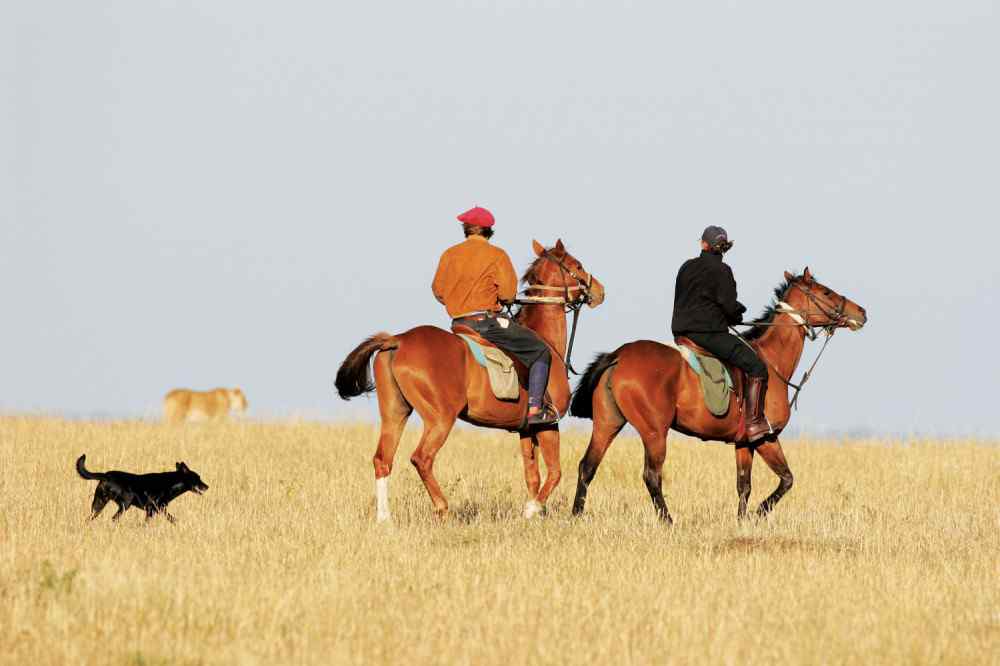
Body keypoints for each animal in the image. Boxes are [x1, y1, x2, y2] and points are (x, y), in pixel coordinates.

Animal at [335, 239, 605, 522]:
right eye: (578, 265)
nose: (599, 290)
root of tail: (397, 340)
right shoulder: (548, 424)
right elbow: (554, 473)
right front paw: (532, 509)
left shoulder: (525, 429)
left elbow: (532, 476)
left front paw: (530, 513)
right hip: (440, 419)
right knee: (422, 458)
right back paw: (442, 508)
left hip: (395, 413)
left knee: (382, 460)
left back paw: (384, 519)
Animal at [568, 268, 867, 523]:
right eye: (826, 292)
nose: (862, 312)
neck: (773, 360)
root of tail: (618, 356)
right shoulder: (766, 438)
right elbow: (787, 479)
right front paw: (759, 513)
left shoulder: (744, 443)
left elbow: (744, 485)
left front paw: (742, 521)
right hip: (654, 431)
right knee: (651, 475)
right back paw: (668, 521)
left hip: (608, 423)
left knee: (587, 466)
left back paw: (576, 516)